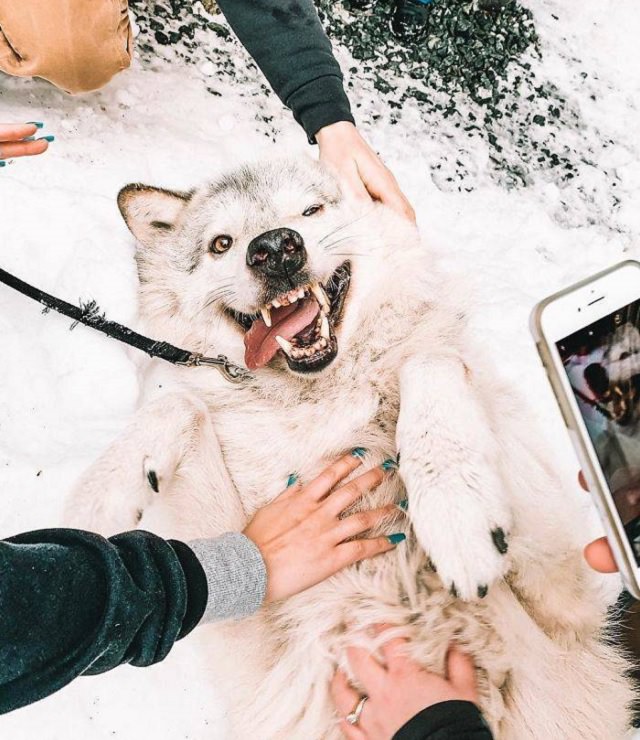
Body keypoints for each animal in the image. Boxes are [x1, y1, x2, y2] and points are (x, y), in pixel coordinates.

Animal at [63, 158, 632, 740]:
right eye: (222, 243)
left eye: (310, 210)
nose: (275, 248)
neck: (322, 404)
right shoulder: (258, 637)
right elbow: (181, 405)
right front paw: (102, 493)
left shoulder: (556, 593)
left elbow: (428, 359)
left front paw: (457, 516)